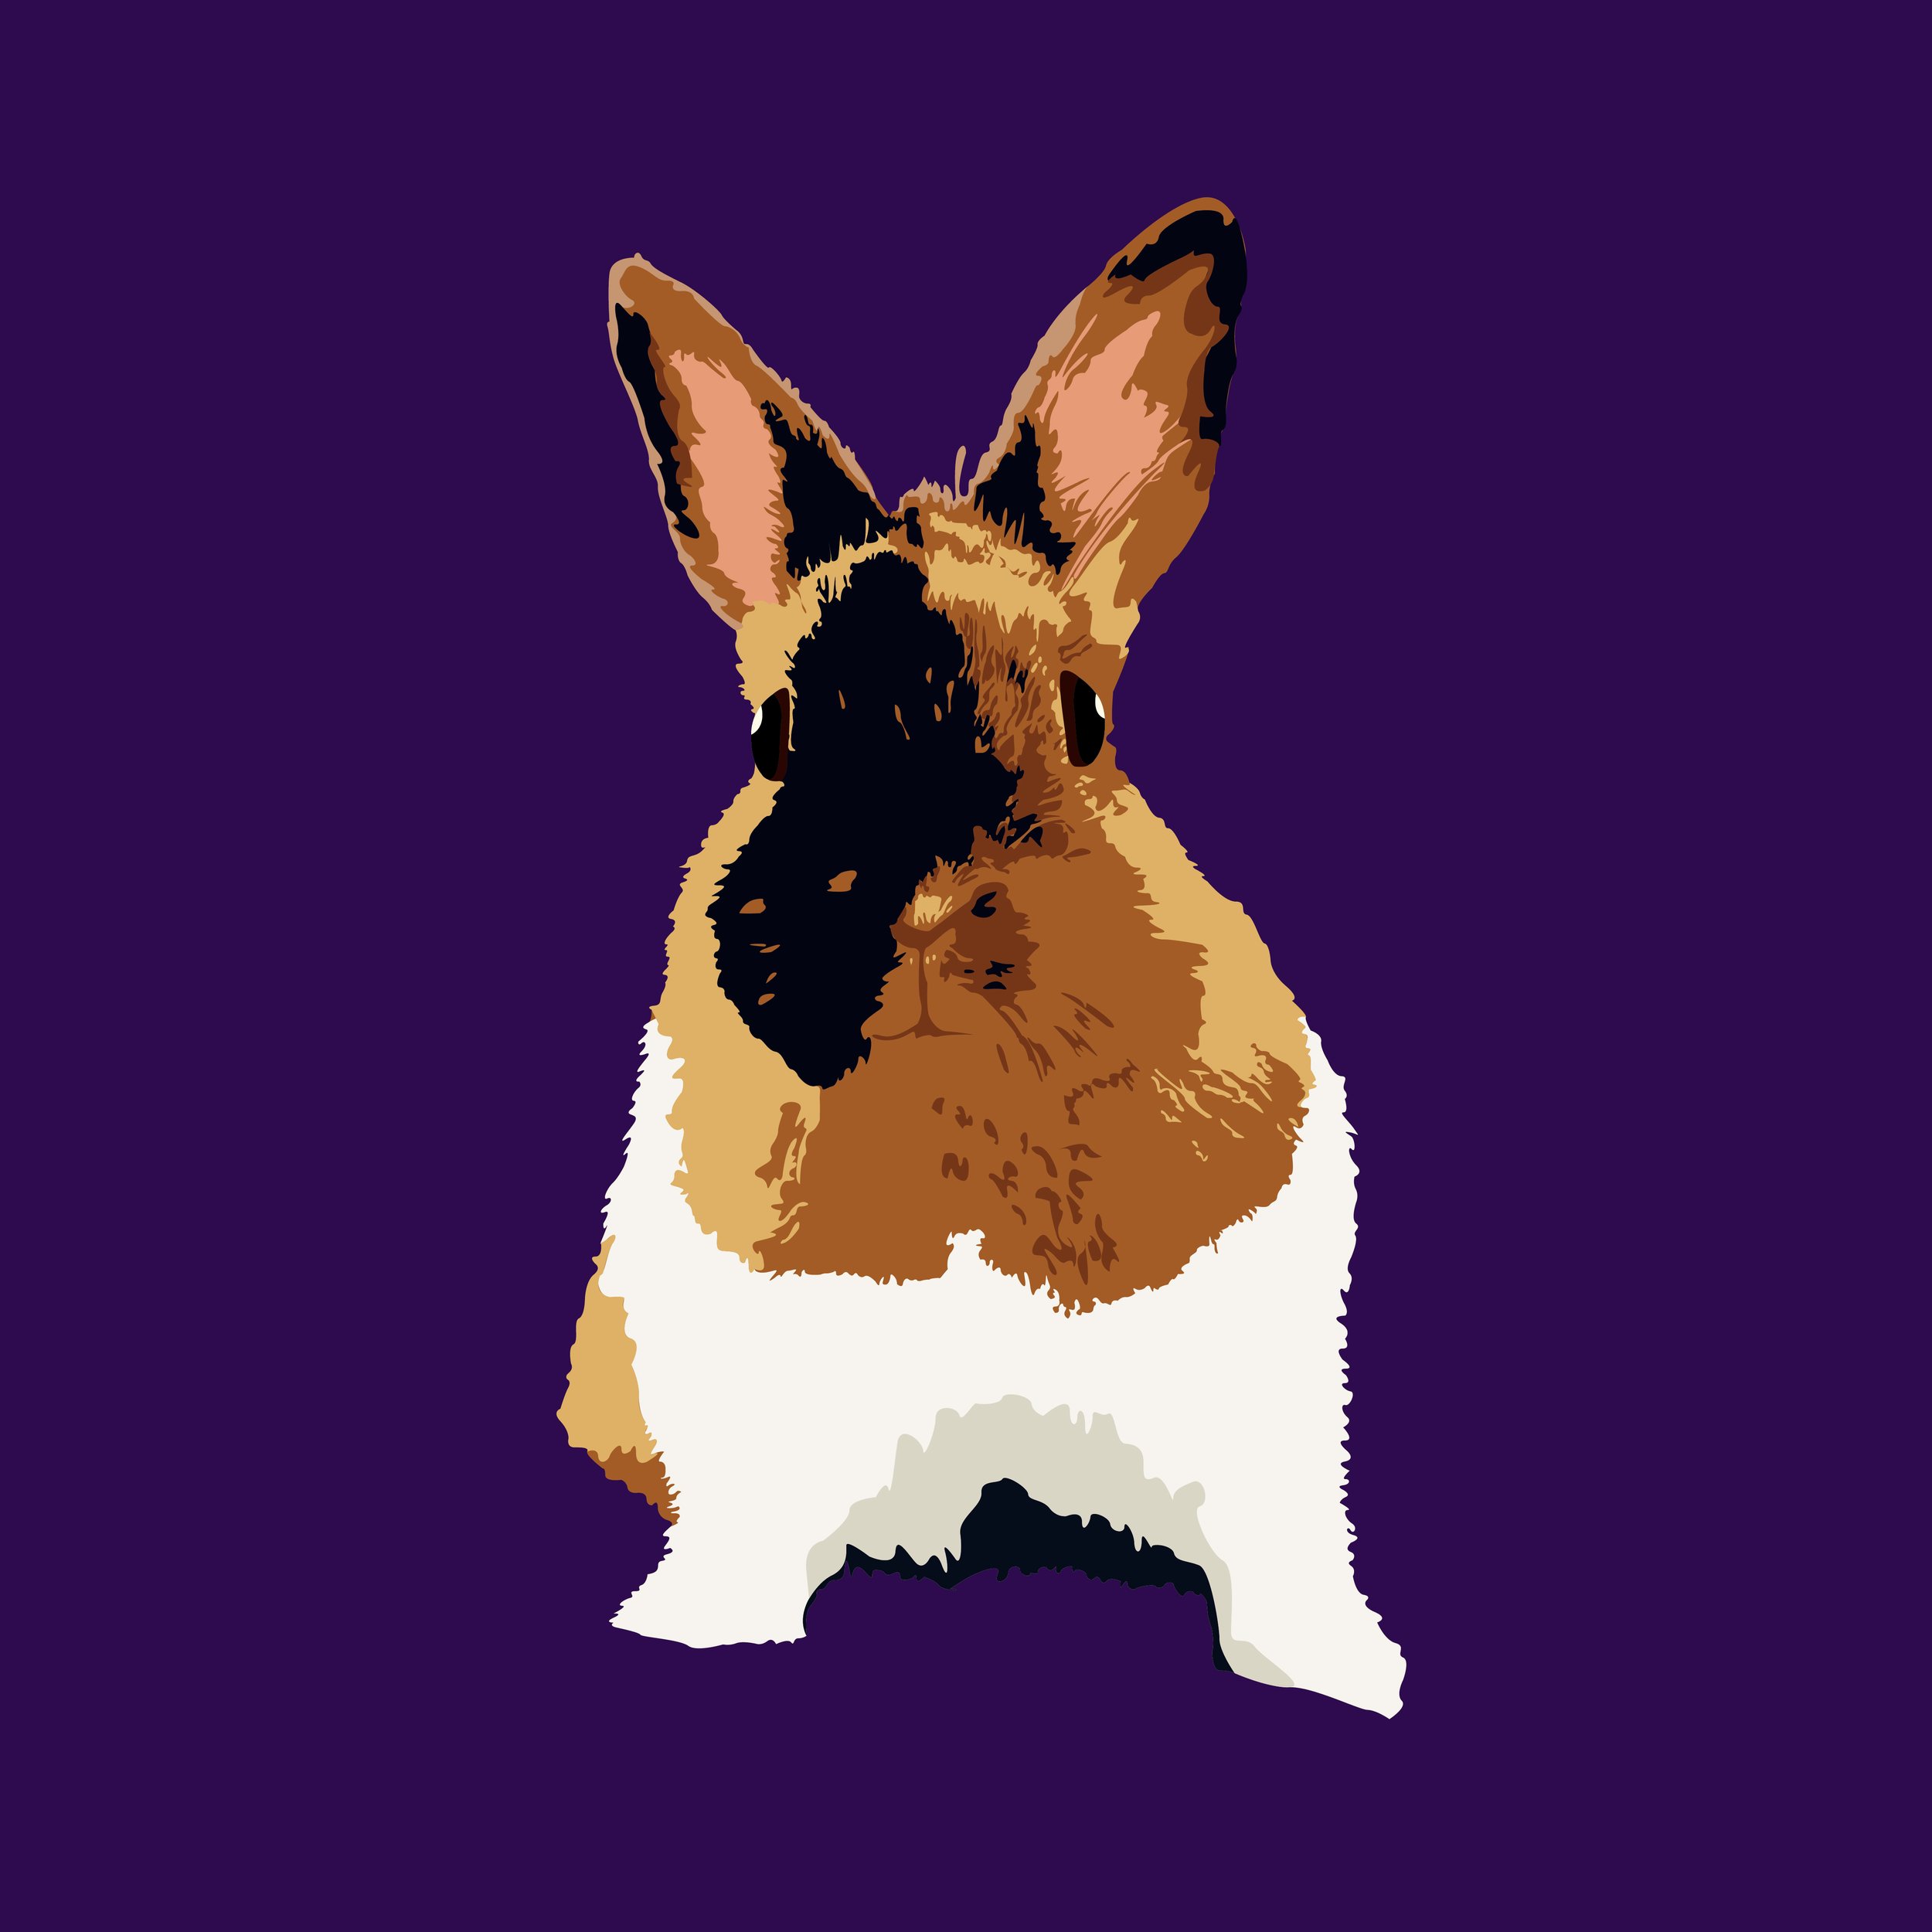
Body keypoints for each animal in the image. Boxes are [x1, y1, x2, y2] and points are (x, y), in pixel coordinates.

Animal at [559, 200, 1404, 1714]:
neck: (957, 1110)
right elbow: (742, 1530)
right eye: (772, 733)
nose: (925, 913)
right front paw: (693, 1631)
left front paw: (1345, 1672)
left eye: (1083, 717)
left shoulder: (1261, 1389)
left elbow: (1282, 1547)